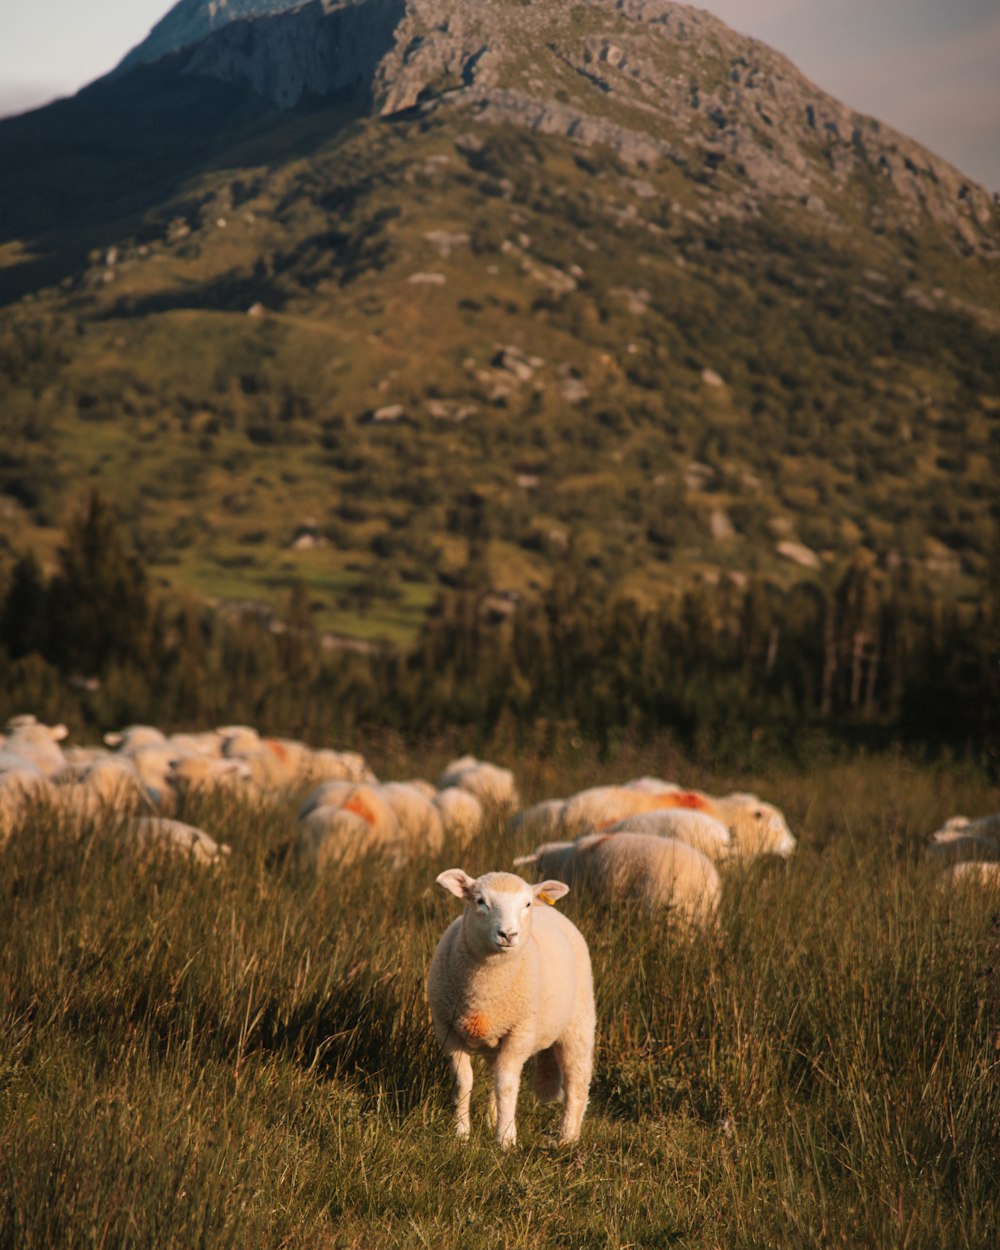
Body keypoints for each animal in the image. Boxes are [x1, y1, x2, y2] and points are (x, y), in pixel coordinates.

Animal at [427, 865, 595, 1145]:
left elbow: (506, 1084)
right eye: (480, 901)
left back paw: (567, 1137)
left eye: (526, 904)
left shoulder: (520, 1033)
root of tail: (549, 908)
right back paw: (491, 1120)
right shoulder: (447, 1030)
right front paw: (461, 1133)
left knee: (577, 1081)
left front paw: (505, 1139)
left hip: (578, 1022)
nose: (508, 934)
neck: (485, 991)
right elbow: (464, 1082)